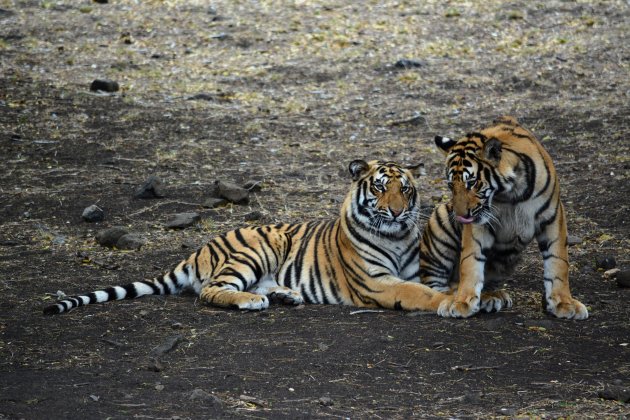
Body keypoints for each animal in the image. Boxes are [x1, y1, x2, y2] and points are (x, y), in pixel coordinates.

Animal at [44, 160, 450, 316]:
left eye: (404, 189)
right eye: (380, 188)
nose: (396, 212)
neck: (397, 236)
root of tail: (200, 248)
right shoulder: (377, 281)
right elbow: (417, 293)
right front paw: (447, 302)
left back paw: (286, 295)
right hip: (256, 250)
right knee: (210, 290)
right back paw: (251, 301)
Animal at [422, 116, 592, 320]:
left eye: (471, 183)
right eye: (450, 185)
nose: (461, 218)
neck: (510, 193)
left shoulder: (552, 217)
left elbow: (558, 262)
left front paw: (564, 303)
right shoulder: (479, 224)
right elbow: (470, 262)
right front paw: (461, 302)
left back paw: (492, 296)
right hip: (440, 220)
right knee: (436, 286)